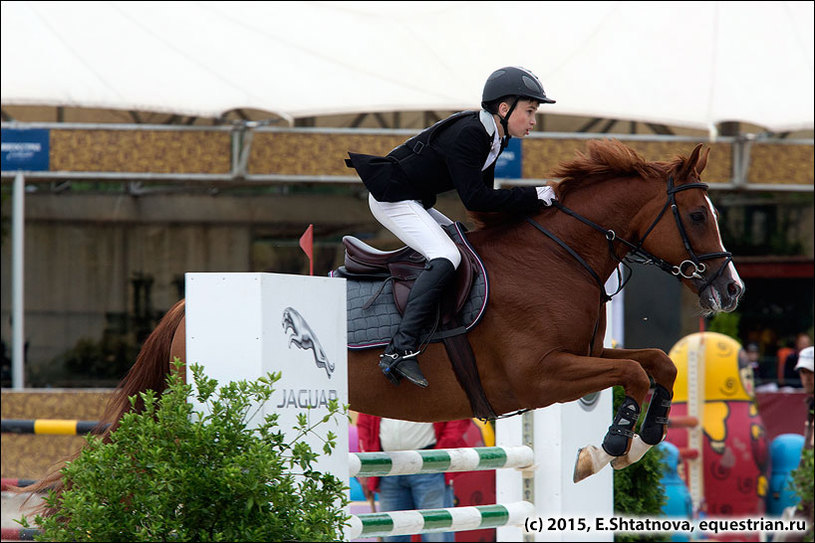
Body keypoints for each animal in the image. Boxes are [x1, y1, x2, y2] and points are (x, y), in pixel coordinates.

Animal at [22, 139, 744, 510]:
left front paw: (638, 438)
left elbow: (656, 363)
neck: (557, 256)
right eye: (697, 216)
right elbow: (635, 373)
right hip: (183, 408)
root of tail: (180, 307)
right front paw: (612, 445)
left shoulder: (577, 360)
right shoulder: (539, 375)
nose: (730, 290)